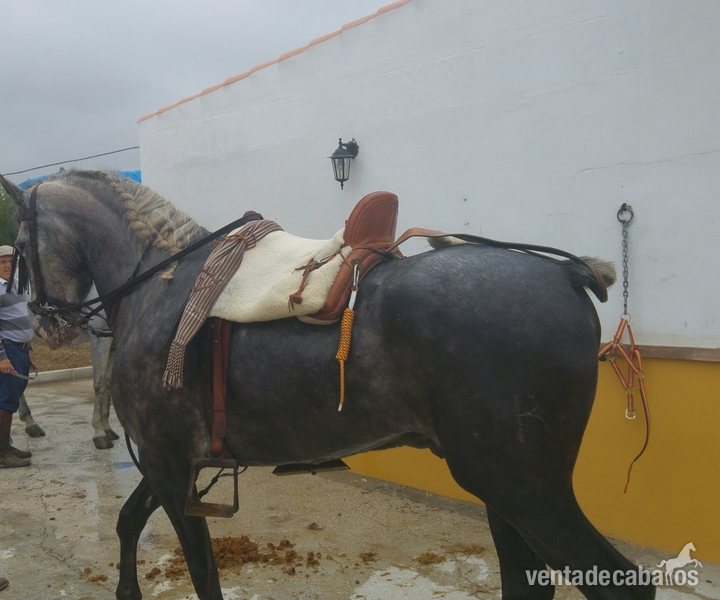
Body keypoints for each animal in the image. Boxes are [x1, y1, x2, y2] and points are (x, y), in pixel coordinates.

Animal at [0, 169, 654, 600]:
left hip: (525, 489)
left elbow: (201, 569)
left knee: (624, 586)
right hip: (510, 492)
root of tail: (568, 275)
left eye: (23, 245)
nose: (46, 321)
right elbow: (128, 519)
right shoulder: (173, 465)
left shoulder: (165, 461)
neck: (162, 284)